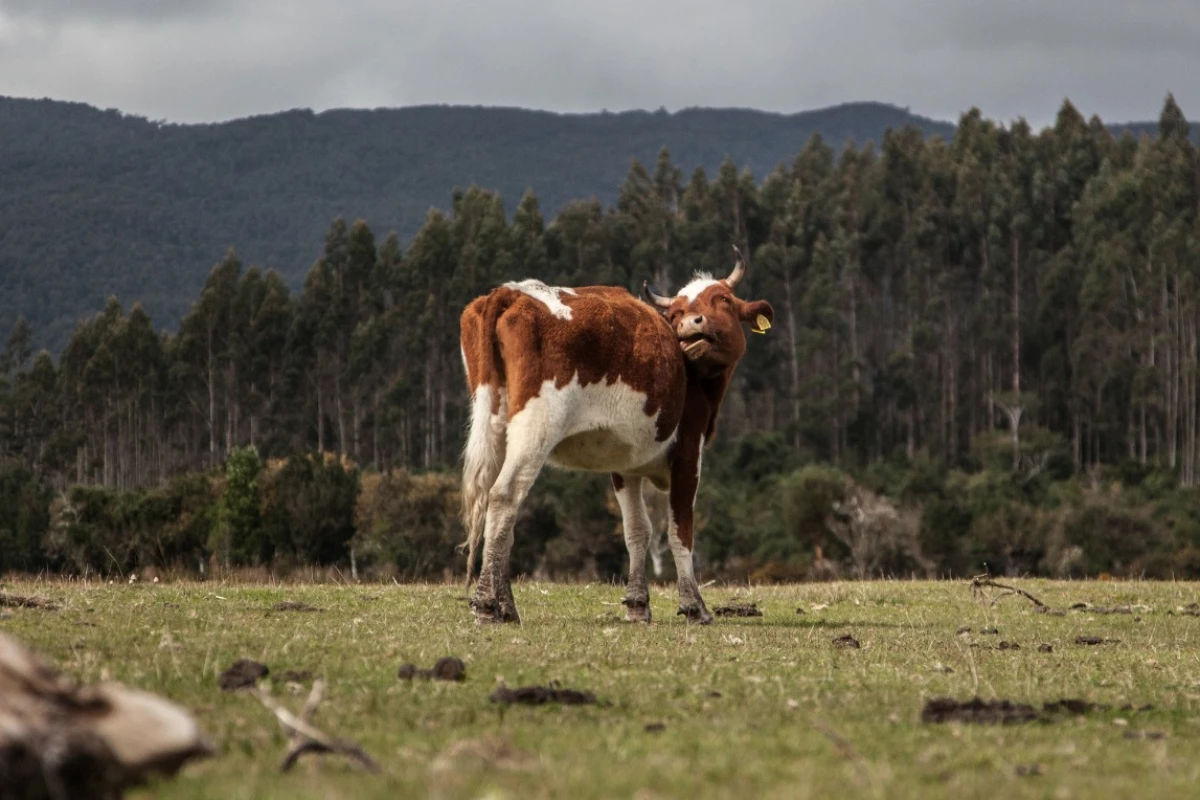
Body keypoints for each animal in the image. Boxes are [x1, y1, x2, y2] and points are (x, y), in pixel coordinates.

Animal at [459, 247, 774, 624]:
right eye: (678, 312)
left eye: (723, 299)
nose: (690, 324)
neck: (692, 373)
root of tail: (511, 292)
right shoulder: (689, 453)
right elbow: (680, 530)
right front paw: (694, 606)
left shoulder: (625, 465)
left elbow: (637, 530)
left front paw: (638, 605)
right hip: (535, 426)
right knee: (504, 497)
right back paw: (486, 605)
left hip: (493, 424)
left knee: (502, 514)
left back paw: (506, 606)